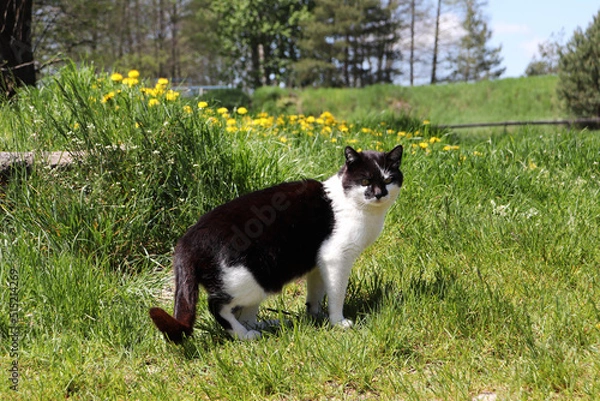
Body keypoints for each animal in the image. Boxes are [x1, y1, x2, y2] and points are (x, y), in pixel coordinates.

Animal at [150, 145, 404, 342]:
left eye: (388, 179)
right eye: (365, 181)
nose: (379, 193)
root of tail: (188, 240)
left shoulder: (319, 262)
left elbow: (316, 292)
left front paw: (315, 316)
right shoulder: (337, 257)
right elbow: (336, 293)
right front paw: (337, 321)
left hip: (259, 283)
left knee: (244, 313)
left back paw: (266, 325)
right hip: (247, 280)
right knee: (217, 307)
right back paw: (245, 335)